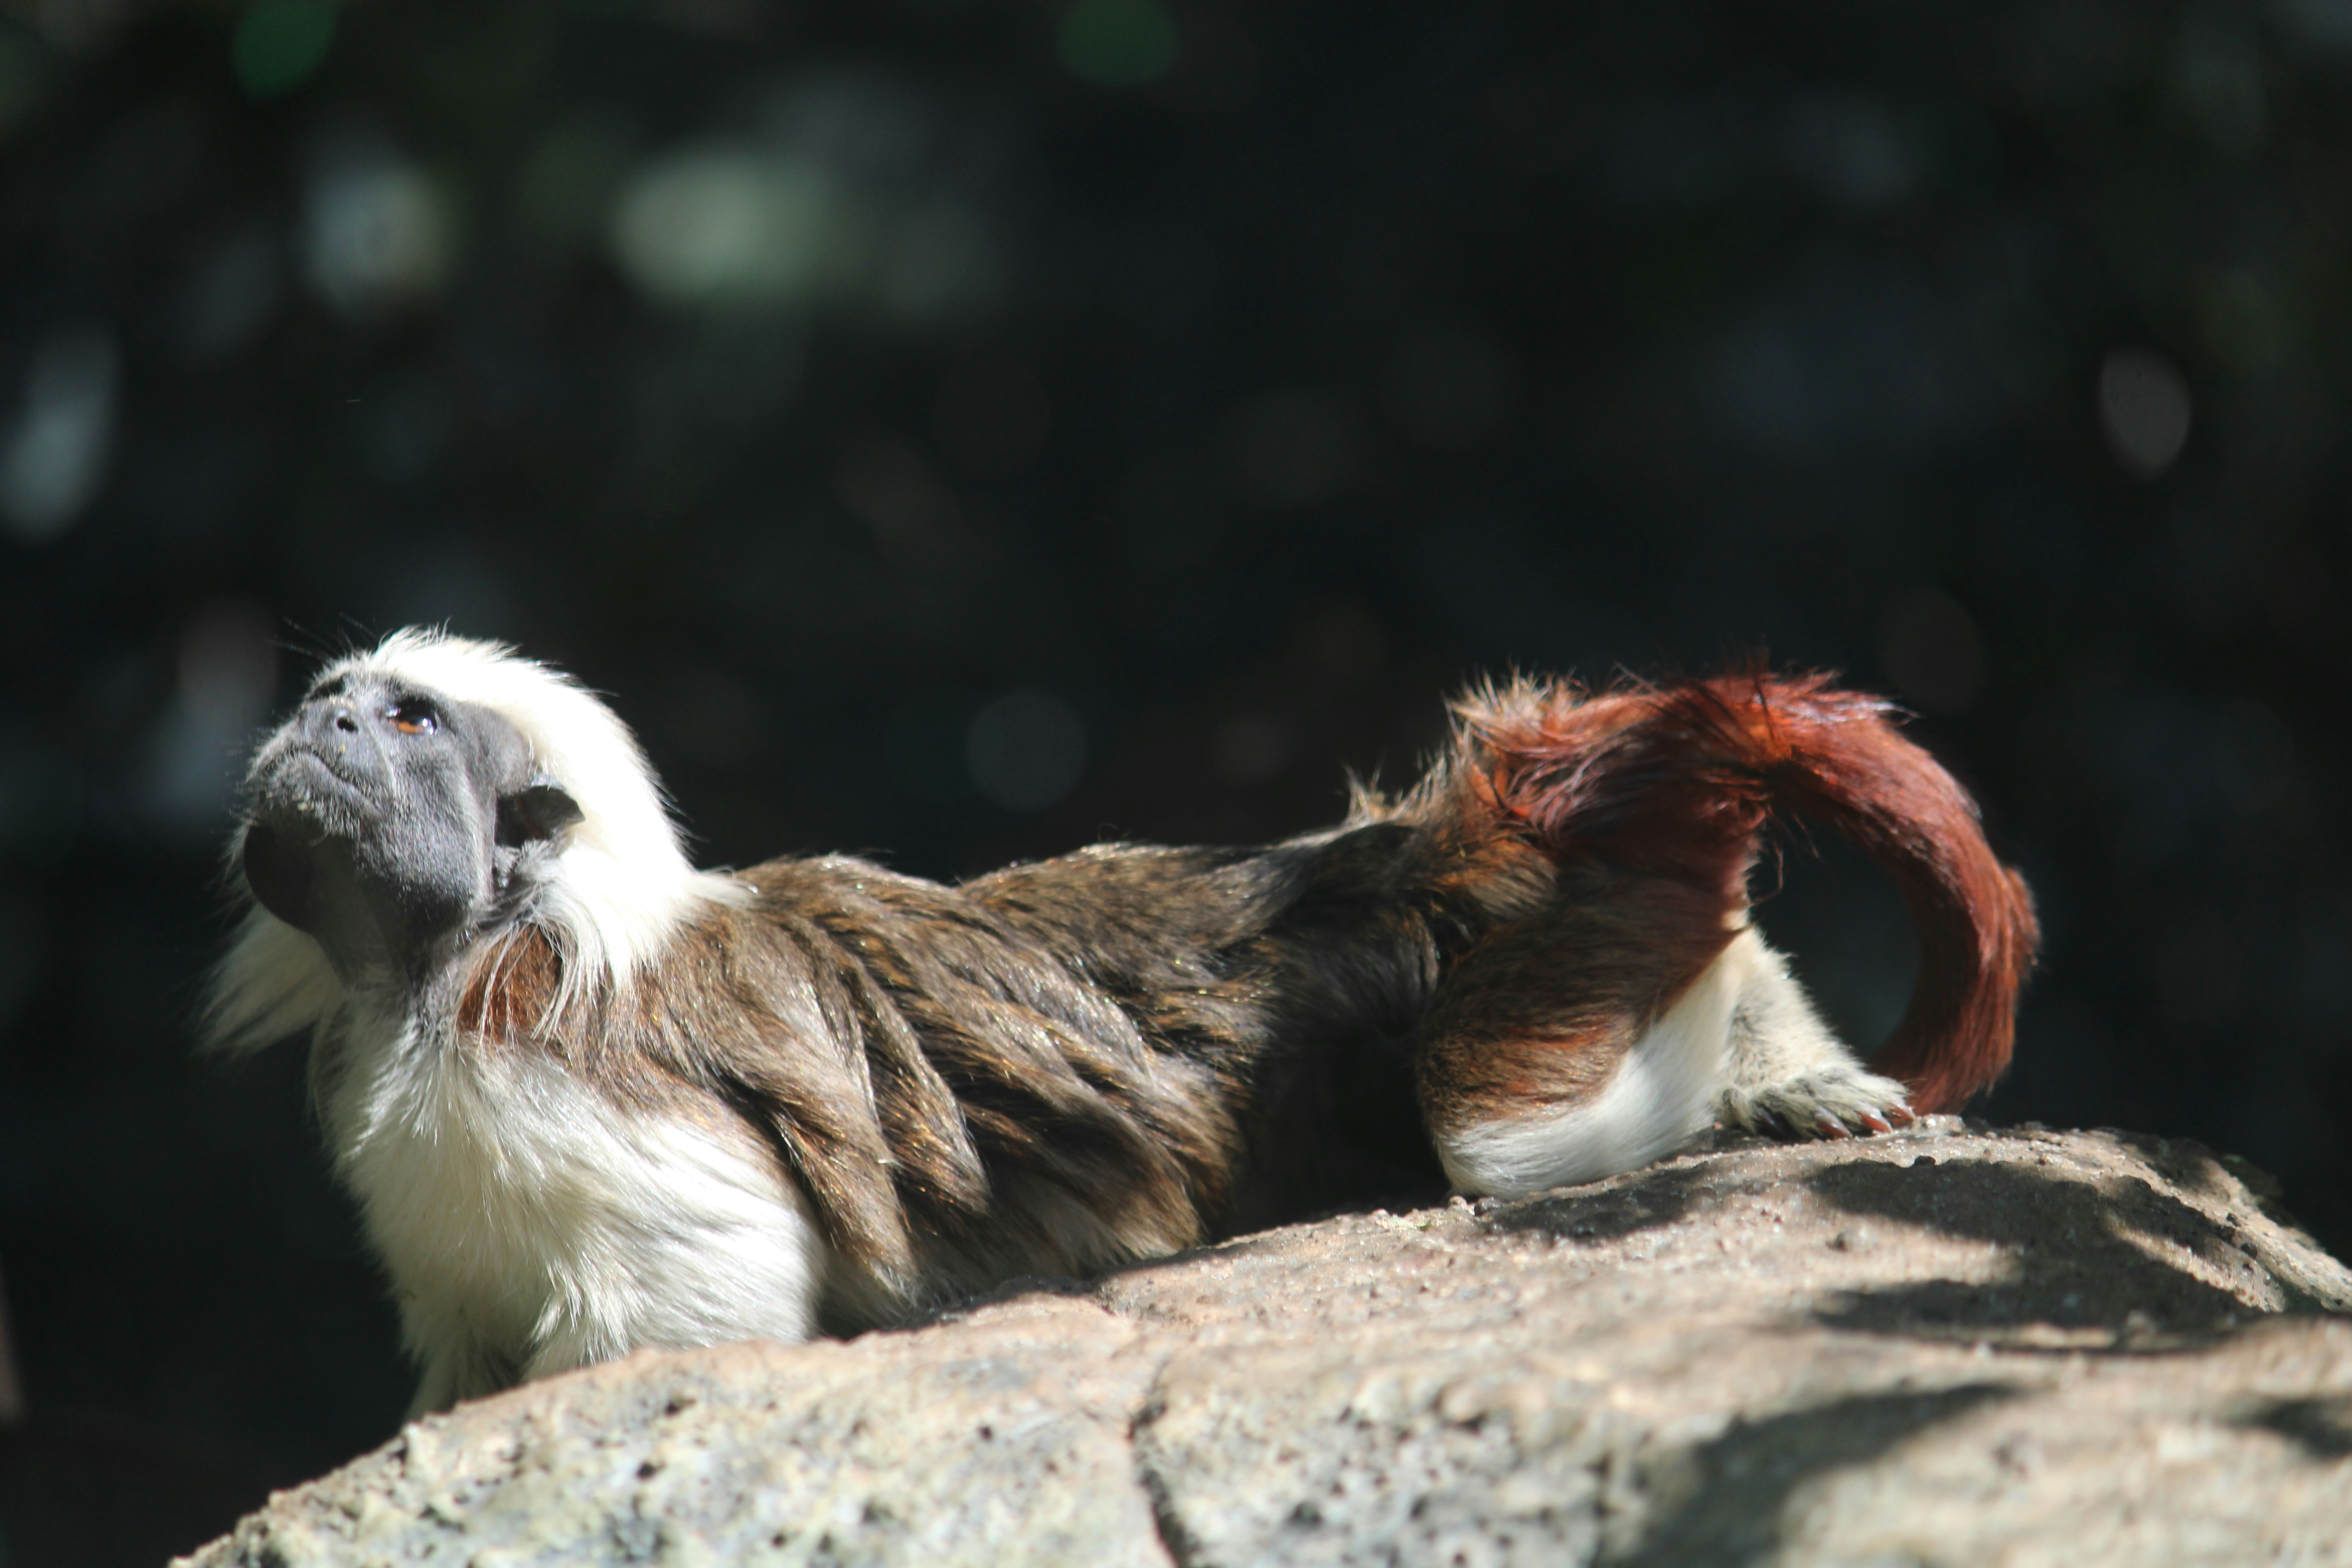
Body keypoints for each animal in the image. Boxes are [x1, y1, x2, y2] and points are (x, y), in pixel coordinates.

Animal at [205, 630, 2036, 1412]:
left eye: (402, 720)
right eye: (333, 703)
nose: (314, 723)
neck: (440, 973)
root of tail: (1455, 833)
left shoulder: (559, 1074)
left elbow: (716, 1285)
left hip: (1526, 967)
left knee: (1505, 1144)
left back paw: (1744, 1096)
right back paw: (1795, 1067)